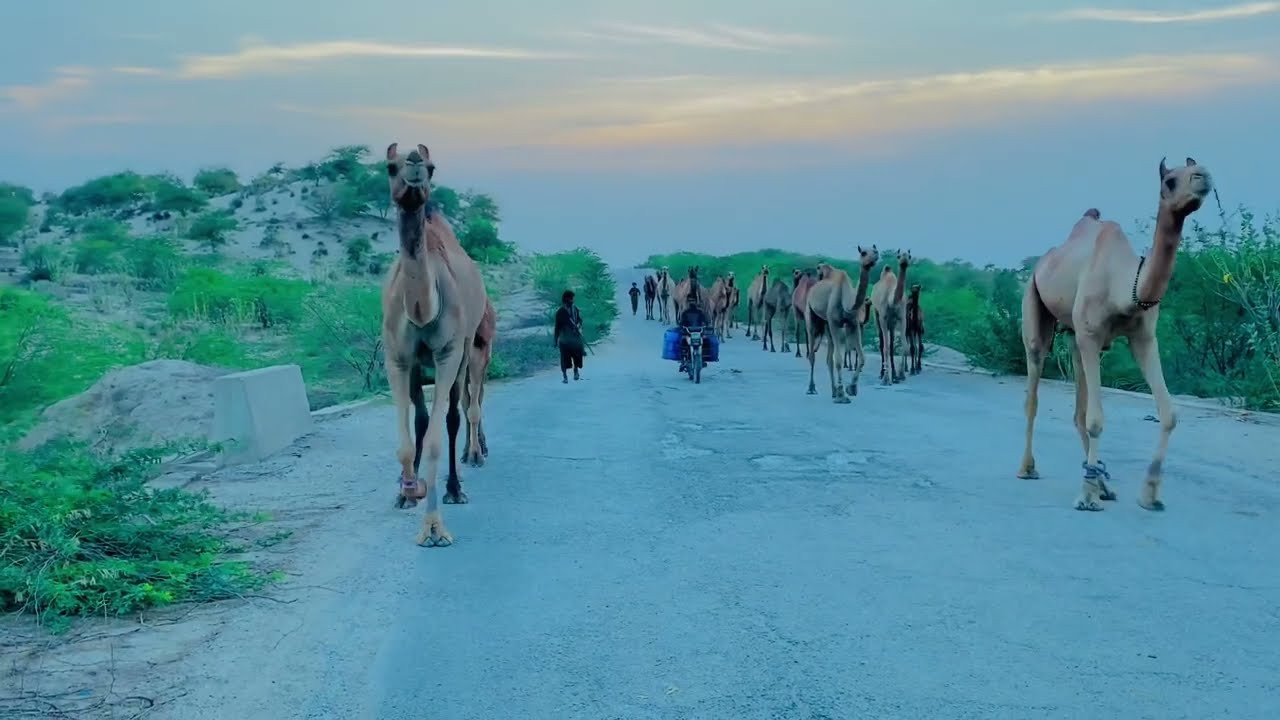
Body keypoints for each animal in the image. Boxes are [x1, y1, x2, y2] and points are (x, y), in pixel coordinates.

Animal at [381, 142, 489, 548]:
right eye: (389, 166)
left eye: (431, 166)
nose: (414, 165)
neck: (422, 308)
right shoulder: (396, 357)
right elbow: (409, 440)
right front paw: (406, 492)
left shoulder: (448, 353)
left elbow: (435, 440)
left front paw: (433, 529)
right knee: (424, 417)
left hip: (465, 352)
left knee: (455, 416)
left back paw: (455, 488)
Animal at [804, 246, 879, 402]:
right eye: (863, 253)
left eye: (875, 250)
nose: (874, 256)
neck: (847, 303)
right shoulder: (834, 322)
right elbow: (838, 359)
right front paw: (843, 395)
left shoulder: (853, 323)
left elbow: (862, 357)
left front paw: (851, 388)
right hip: (811, 314)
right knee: (812, 353)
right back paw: (811, 388)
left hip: (826, 323)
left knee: (828, 358)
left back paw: (833, 391)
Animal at [870, 251, 913, 385]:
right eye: (899, 256)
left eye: (909, 255)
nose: (904, 259)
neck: (892, 301)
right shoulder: (883, 318)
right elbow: (885, 347)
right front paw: (885, 379)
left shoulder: (902, 318)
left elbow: (904, 346)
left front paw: (900, 375)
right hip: (876, 315)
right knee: (882, 343)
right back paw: (882, 373)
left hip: (892, 323)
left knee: (891, 343)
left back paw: (893, 374)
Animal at [1017, 157, 1213, 513]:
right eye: (1170, 181)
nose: (1203, 177)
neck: (1125, 287)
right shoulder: (1091, 333)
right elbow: (1096, 419)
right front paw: (1087, 496)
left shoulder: (1143, 338)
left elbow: (1169, 413)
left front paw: (1150, 494)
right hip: (1035, 302)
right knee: (1034, 387)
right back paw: (1028, 468)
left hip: (1074, 336)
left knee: (1078, 409)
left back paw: (1103, 484)